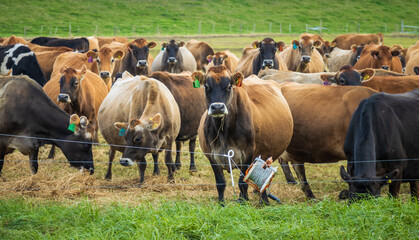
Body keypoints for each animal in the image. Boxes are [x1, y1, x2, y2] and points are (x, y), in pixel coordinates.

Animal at [195, 65, 294, 204]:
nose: (218, 107)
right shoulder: (211, 156)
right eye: (206, 86)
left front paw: (243, 202)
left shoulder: (248, 154)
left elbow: (242, 182)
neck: (223, 132)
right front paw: (221, 204)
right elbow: (220, 183)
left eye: (229, 86)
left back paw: (264, 202)